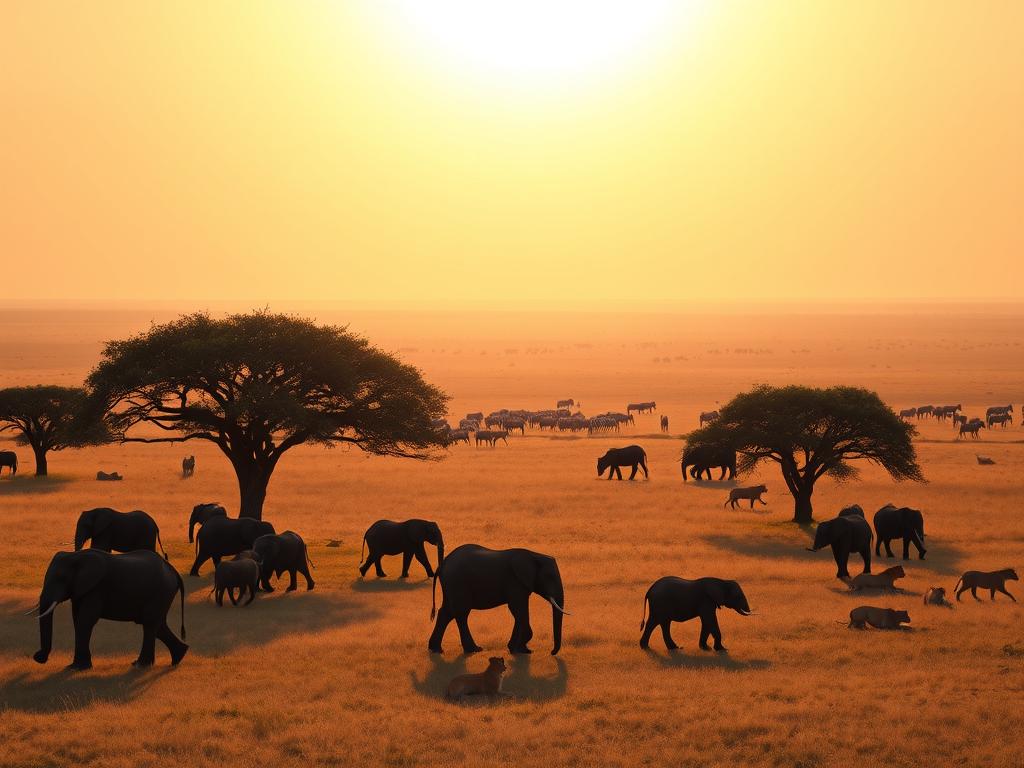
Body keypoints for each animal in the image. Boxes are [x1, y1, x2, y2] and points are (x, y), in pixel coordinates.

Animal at [31, 549, 188, 670]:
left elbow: (85, 621)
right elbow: (77, 620)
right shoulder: (81, 590)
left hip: (160, 592)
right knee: (158, 626)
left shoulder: (96, 589)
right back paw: (178, 658)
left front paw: (78, 668)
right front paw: (74, 666)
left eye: (61, 578)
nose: (38, 657)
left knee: (150, 624)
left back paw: (141, 665)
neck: (76, 556)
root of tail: (174, 571)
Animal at [428, 544, 568, 656]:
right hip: (458, 583)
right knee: (461, 613)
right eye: (550, 577)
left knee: (446, 612)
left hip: (451, 585)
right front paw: (523, 650)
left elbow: (518, 612)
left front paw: (516, 649)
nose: (552, 652)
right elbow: (518, 609)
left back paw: (435, 649)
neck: (534, 555)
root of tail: (442, 565)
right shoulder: (515, 582)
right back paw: (474, 650)